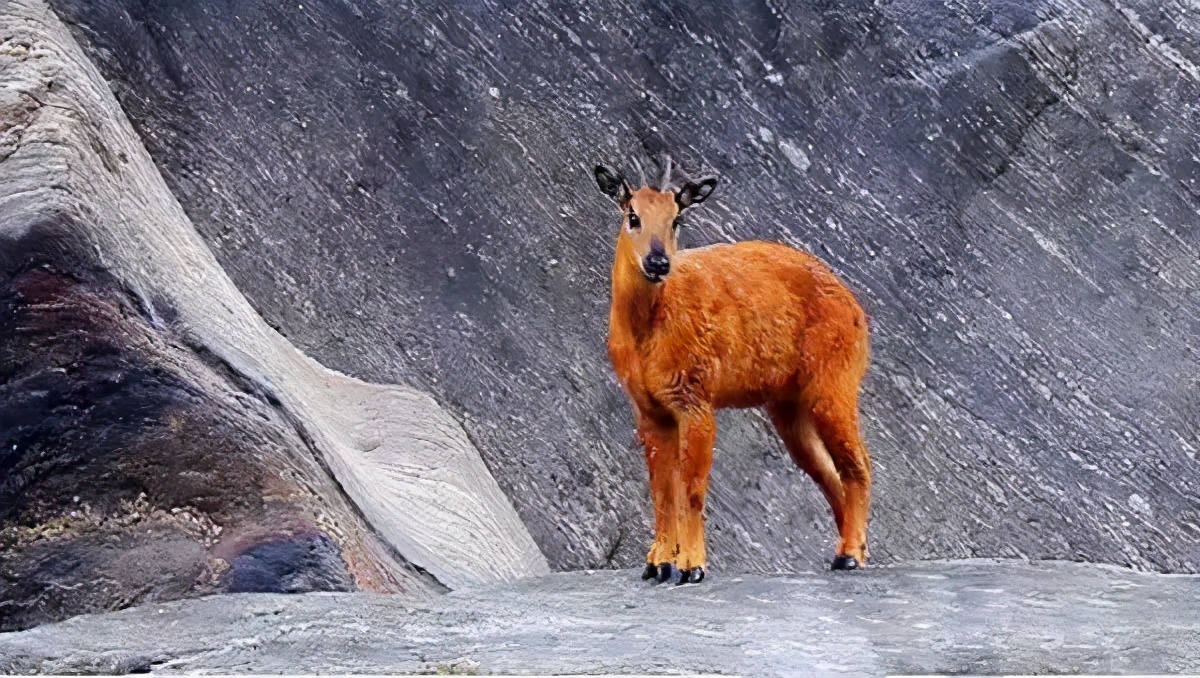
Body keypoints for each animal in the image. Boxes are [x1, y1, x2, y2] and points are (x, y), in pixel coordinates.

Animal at [597, 159, 873, 580]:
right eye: (633, 216)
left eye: (677, 219)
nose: (658, 263)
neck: (646, 334)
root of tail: (857, 310)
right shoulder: (649, 409)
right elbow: (662, 490)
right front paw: (658, 563)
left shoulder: (696, 397)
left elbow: (692, 488)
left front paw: (691, 566)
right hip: (788, 407)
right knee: (829, 474)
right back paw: (850, 551)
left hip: (834, 381)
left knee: (858, 466)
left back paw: (851, 556)